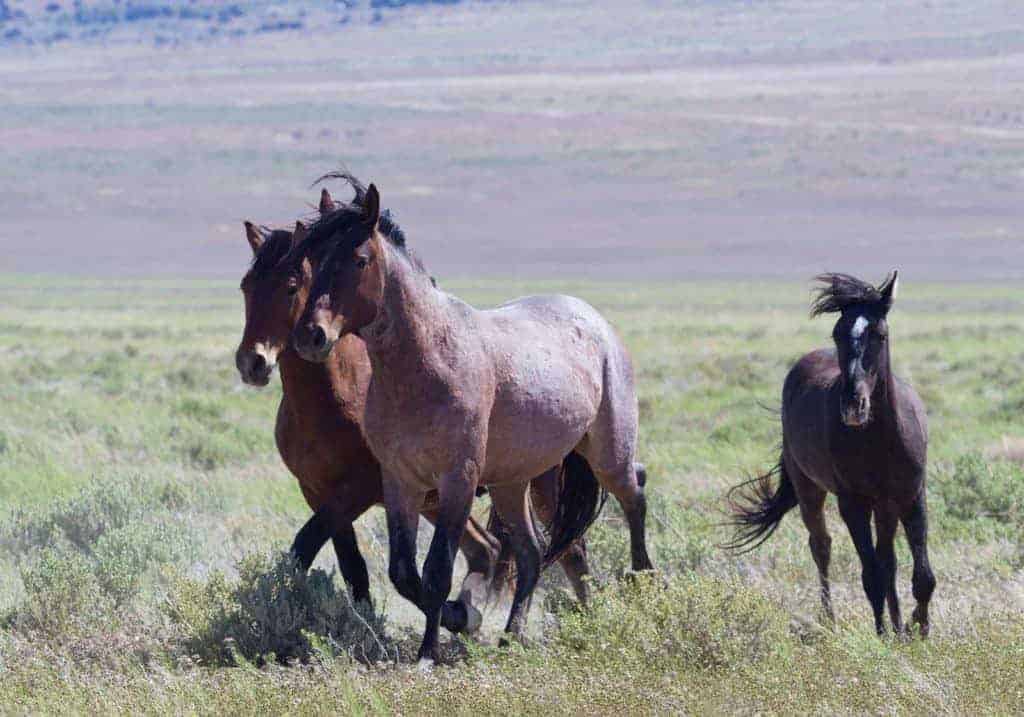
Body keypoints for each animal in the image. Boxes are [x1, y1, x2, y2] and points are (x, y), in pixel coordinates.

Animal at [235, 190, 591, 629]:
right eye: (246, 286)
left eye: (291, 285)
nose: (252, 362)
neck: (330, 403)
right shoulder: (319, 492)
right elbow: (351, 566)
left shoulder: (363, 488)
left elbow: (306, 545)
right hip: (442, 499)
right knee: (488, 548)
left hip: (537, 484)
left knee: (570, 552)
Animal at [290, 174, 653, 663]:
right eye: (311, 263)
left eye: (360, 259)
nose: (311, 336)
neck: (427, 364)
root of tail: (595, 320)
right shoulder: (401, 482)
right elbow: (405, 573)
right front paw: (461, 621)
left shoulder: (457, 480)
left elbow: (438, 569)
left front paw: (431, 651)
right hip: (511, 483)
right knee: (533, 551)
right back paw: (511, 637)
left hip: (607, 453)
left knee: (634, 496)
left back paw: (645, 582)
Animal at [727, 271, 935, 636]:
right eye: (837, 333)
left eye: (880, 334)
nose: (853, 406)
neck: (881, 440)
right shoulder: (852, 504)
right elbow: (872, 575)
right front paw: (884, 636)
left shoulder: (911, 495)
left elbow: (920, 576)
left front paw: (916, 627)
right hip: (810, 489)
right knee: (821, 546)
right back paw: (829, 619)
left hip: (885, 506)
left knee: (888, 559)